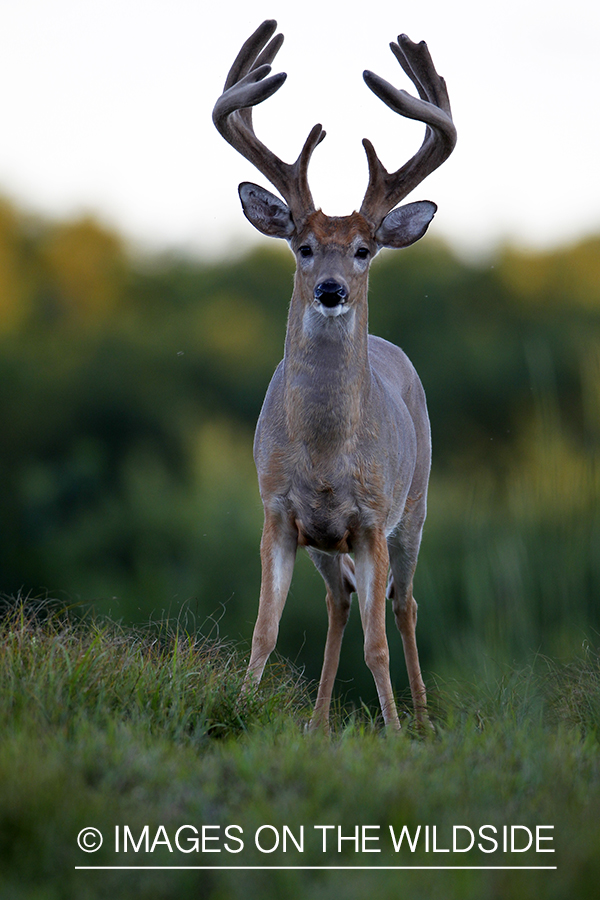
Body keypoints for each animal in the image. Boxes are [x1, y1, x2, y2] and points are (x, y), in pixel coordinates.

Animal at [213, 19, 458, 732]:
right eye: (302, 246)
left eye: (363, 249)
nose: (330, 289)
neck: (323, 456)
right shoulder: (279, 510)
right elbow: (265, 628)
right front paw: (238, 707)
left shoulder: (373, 516)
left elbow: (379, 640)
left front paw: (396, 730)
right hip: (327, 541)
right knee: (340, 600)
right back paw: (319, 724)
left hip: (417, 502)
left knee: (403, 604)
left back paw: (424, 723)